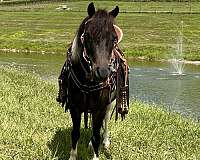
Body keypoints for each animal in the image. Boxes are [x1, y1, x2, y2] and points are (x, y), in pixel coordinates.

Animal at [56, 2, 128, 159]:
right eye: (87, 35)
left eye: (114, 38)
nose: (103, 72)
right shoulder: (75, 107)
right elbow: (75, 133)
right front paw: (72, 156)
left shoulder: (100, 108)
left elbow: (96, 135)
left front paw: (96, 155)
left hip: (109, 103)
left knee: (105, 122)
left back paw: (105, 142)